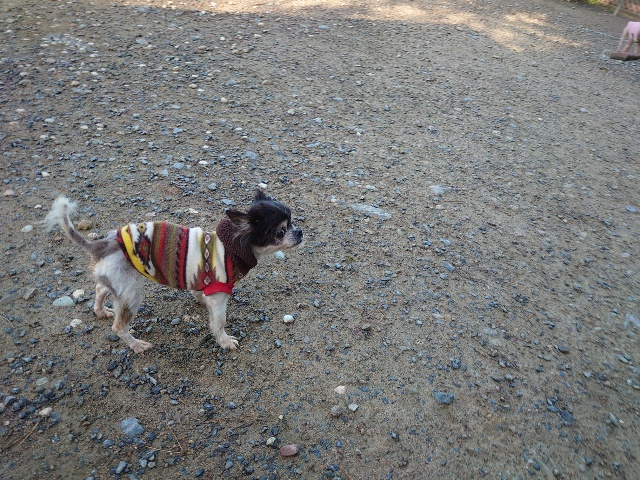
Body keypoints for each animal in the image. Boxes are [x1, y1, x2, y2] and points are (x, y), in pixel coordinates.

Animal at [41, 190, 303, 353]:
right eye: (280, 231)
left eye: (292, 222)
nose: (300, 232)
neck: (232, 246)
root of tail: (101, 245)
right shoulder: (220, 294)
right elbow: (218, 322)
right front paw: (225, 341)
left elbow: (199, 293)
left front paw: (199, 299)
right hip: (131, 293)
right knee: (119, 326)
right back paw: (136, 345)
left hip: (119, 280)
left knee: (99, 288)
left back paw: (100, 311)